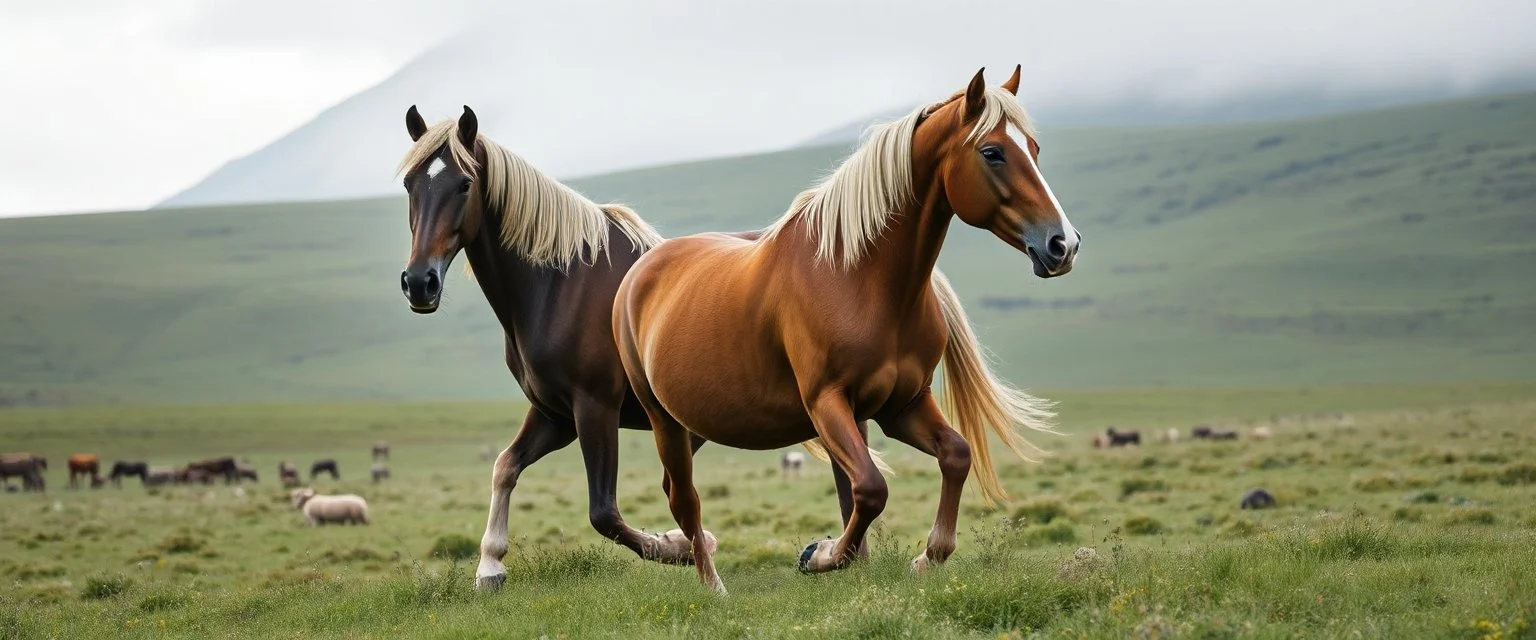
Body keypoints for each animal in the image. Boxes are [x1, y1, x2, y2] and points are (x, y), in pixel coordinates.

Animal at [395, 105, 884, 590]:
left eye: (464, 183)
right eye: (409, 185)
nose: (419, 282)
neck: (560, 285)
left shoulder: (594, 408)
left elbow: (604, 514)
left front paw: (680, 546)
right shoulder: (556, 415)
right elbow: (505, 466)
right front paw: (490, 566)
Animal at [613, 67, 1078, 594]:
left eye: (1034, 148)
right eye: (992, 152)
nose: (1063, 244)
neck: (859, 279)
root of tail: (643, 268)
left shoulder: (903, 406)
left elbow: (955, 456)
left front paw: (928, 556)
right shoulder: (827, 404)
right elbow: (871, 488)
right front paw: (822, 555)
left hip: (695, 421)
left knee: (677, 491)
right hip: (663, 420)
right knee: (684, 498)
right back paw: (714, 587)